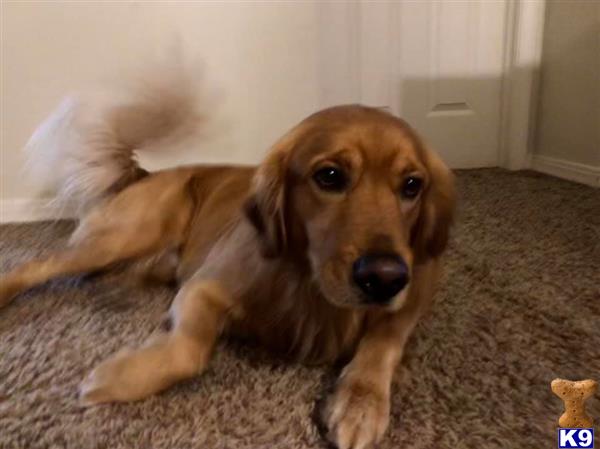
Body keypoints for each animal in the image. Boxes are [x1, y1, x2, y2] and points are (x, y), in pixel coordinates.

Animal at [0, 66, 454, 448]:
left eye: (412, 185)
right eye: (329, 176)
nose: (384, 277)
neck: (309, 286)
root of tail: (145, 173)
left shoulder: (412, 295)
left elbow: (383, 343)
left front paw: (361, 403)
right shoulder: (204, 287)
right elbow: (188, 349)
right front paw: (118, 376)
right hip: (124, 235)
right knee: (36, 265)